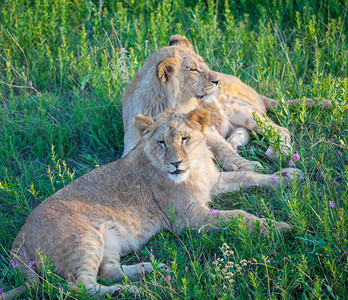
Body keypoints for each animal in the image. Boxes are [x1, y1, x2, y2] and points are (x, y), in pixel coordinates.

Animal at [2, 109, 300, 298]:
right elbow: (239, 215)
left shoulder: (213, 182)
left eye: (184, 139)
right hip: (82, 239)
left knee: (108, 271)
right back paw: (126, 291)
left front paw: (287, 176)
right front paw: (279, 227)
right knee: (78, 287)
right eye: (161, 142)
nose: (176, 163)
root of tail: (19, 236)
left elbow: (248, 175)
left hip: (108, 240)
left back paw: (152, 269)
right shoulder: (189, 217)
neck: (195, 166)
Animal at [120, 34, 342, 168]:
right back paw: (235, 143)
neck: (165, 102)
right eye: (193, 70)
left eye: (203, 63)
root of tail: (255, 91)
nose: (217, 80)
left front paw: (244, 166)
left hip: (240, 109)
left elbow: (222, 150)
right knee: (244, 133)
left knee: (280, 129)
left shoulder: (207, 130)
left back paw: (275, 152)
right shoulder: (132, 144)